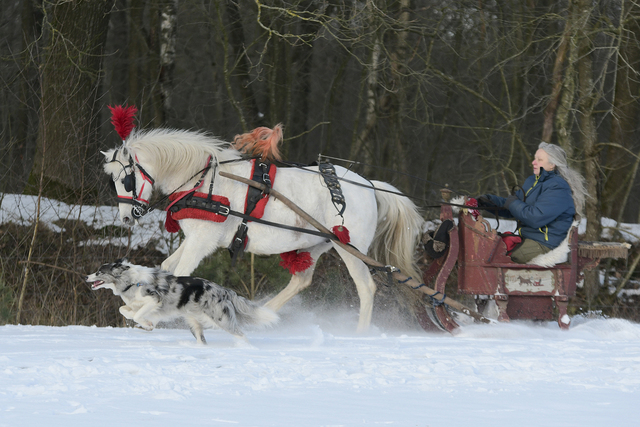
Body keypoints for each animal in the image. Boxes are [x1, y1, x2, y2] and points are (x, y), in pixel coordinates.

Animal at [104, 127, 424, 332]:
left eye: (126, 179)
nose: (127, 217)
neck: (204, 181)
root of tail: (369, 185)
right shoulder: (194, 237)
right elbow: (167, 267)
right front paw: (138, 307)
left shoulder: (202, 241)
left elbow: (179, 274)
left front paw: (150, 315)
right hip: (314, 244)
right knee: (301, 281)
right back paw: (264, 313)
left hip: (349, 247)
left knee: (366, 288)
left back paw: (359, 334)